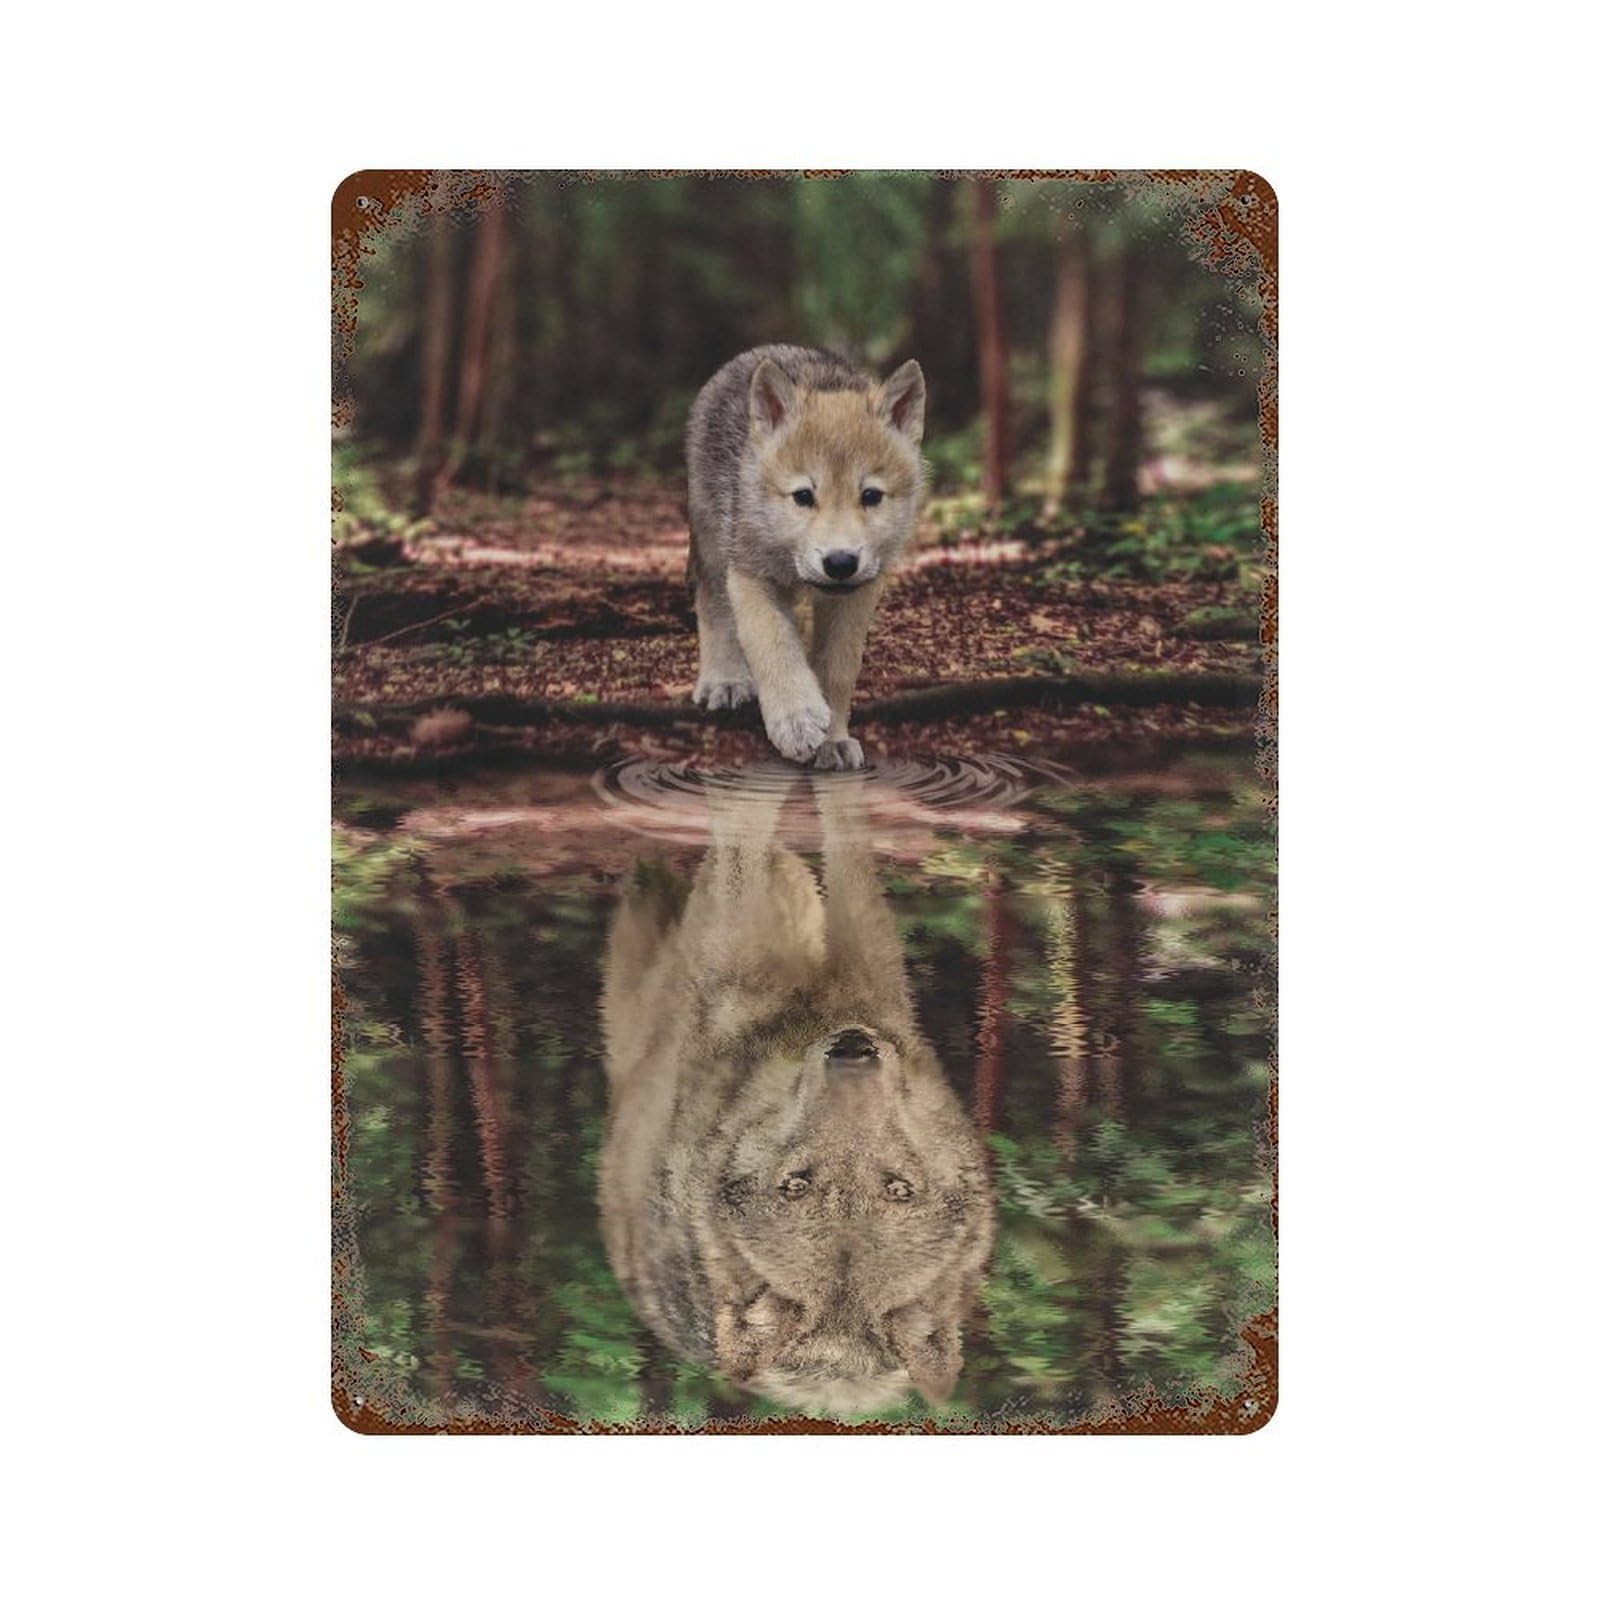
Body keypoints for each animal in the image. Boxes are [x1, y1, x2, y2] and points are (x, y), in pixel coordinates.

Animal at [686, 345, 927, 770]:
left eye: (870, 496)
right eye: (803, 496)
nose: (840, 563)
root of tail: (764, 350)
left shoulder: (858, 594)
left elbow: (836, 670)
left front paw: (833, 739)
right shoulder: (748, 574)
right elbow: (772, 641)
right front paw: (795, 719)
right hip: (713, 545)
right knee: (712, 605)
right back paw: (724, 680)